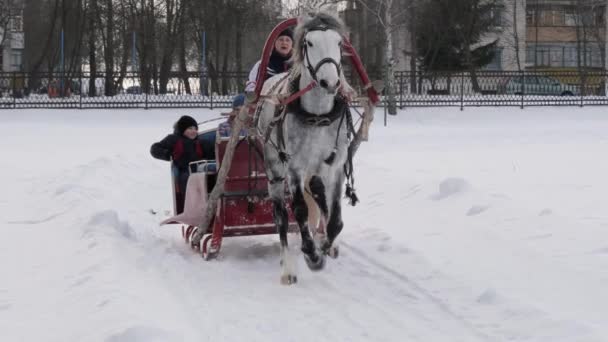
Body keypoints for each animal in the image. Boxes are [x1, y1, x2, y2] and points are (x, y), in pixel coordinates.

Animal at [256, 13, 356, 284]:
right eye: (309, 43)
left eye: (339, 43)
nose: (330, 82)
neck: (317, 116)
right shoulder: (294, 168)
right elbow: (299, 210)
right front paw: (312, 255)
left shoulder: (335, 165)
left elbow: (336, 219)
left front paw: (325, 245)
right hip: (274, 171)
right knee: (280, 215)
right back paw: (287, 267)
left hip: (316, 168)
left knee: (319, 195)